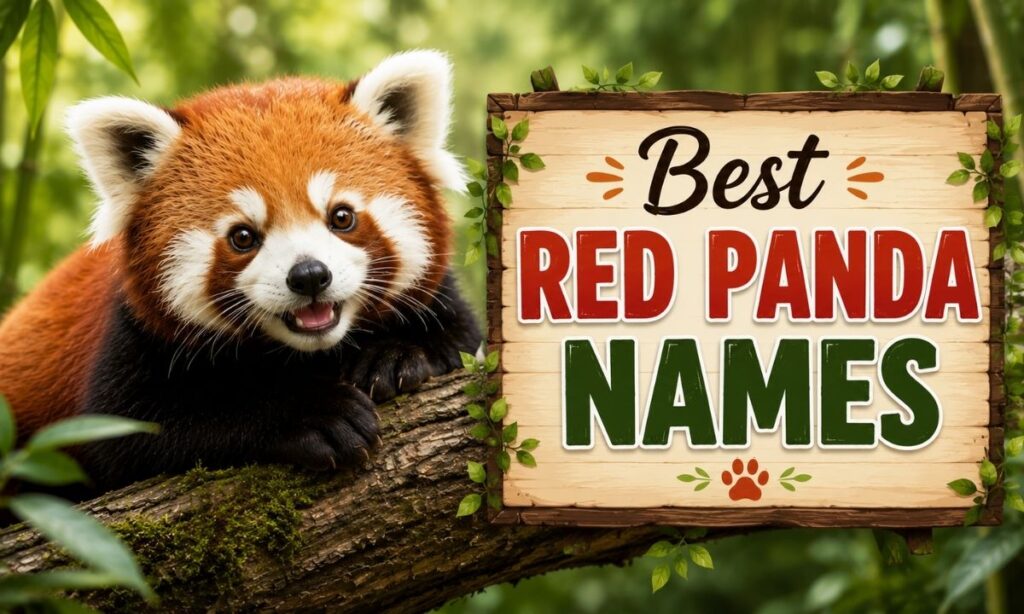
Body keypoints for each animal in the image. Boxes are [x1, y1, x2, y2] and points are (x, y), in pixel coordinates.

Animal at [0, 50, 482, 489]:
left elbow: (461, 337)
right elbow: (138, 431)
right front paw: (314, 414)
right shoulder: (128, 340)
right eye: (243, 237)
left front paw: (398, 354)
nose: (309, 276)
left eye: (342, 217)